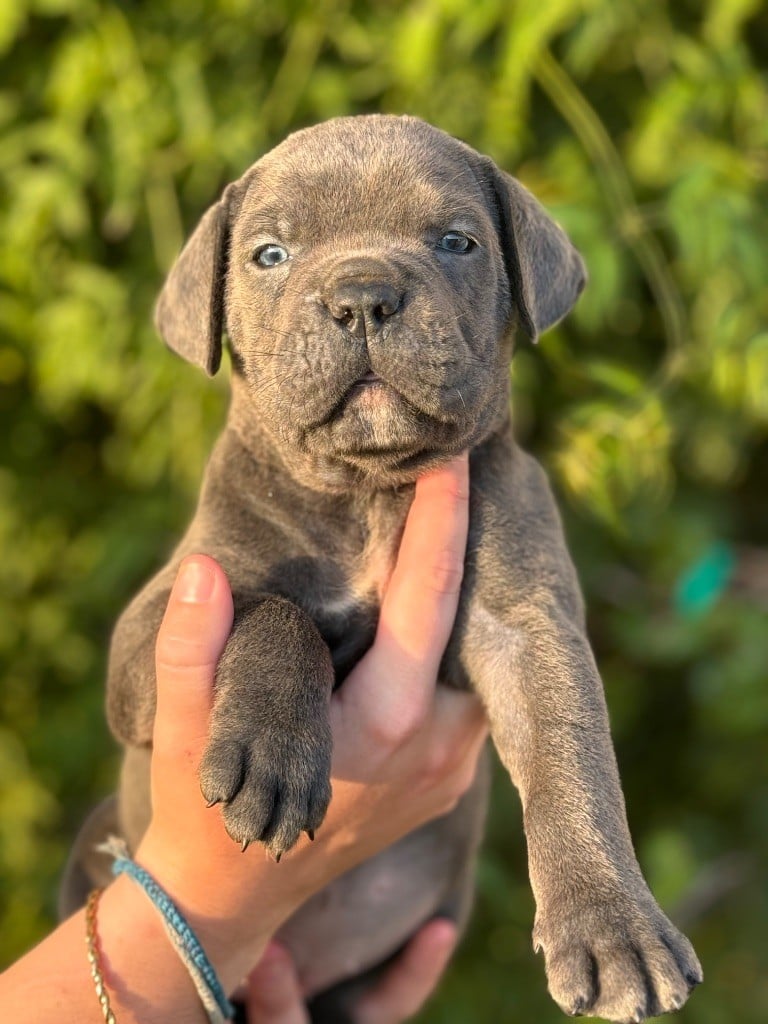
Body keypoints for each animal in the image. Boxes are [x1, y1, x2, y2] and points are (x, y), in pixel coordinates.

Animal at [64, 116, 704, 1019]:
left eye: (456, 242)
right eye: (269, 255)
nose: (362, 296)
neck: (366, 491)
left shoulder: (526, 624)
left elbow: (571, 759)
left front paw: (613, 927)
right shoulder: (162, 623)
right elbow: (278, 610)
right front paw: (271, 754)